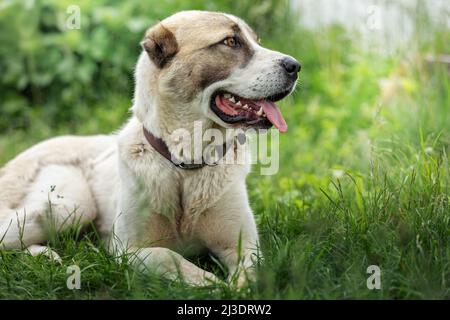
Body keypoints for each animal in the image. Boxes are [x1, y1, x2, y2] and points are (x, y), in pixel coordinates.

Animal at [0, 10, 302, 286]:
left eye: (256, 41)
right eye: (231, 41)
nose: (295, 66)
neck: (185, 163)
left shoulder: (244, 246)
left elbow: (249, 277)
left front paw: (234, 289)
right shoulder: (128, 250)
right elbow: (169, 257)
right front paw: (211, 284)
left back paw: (45, 256)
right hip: (70, 206)